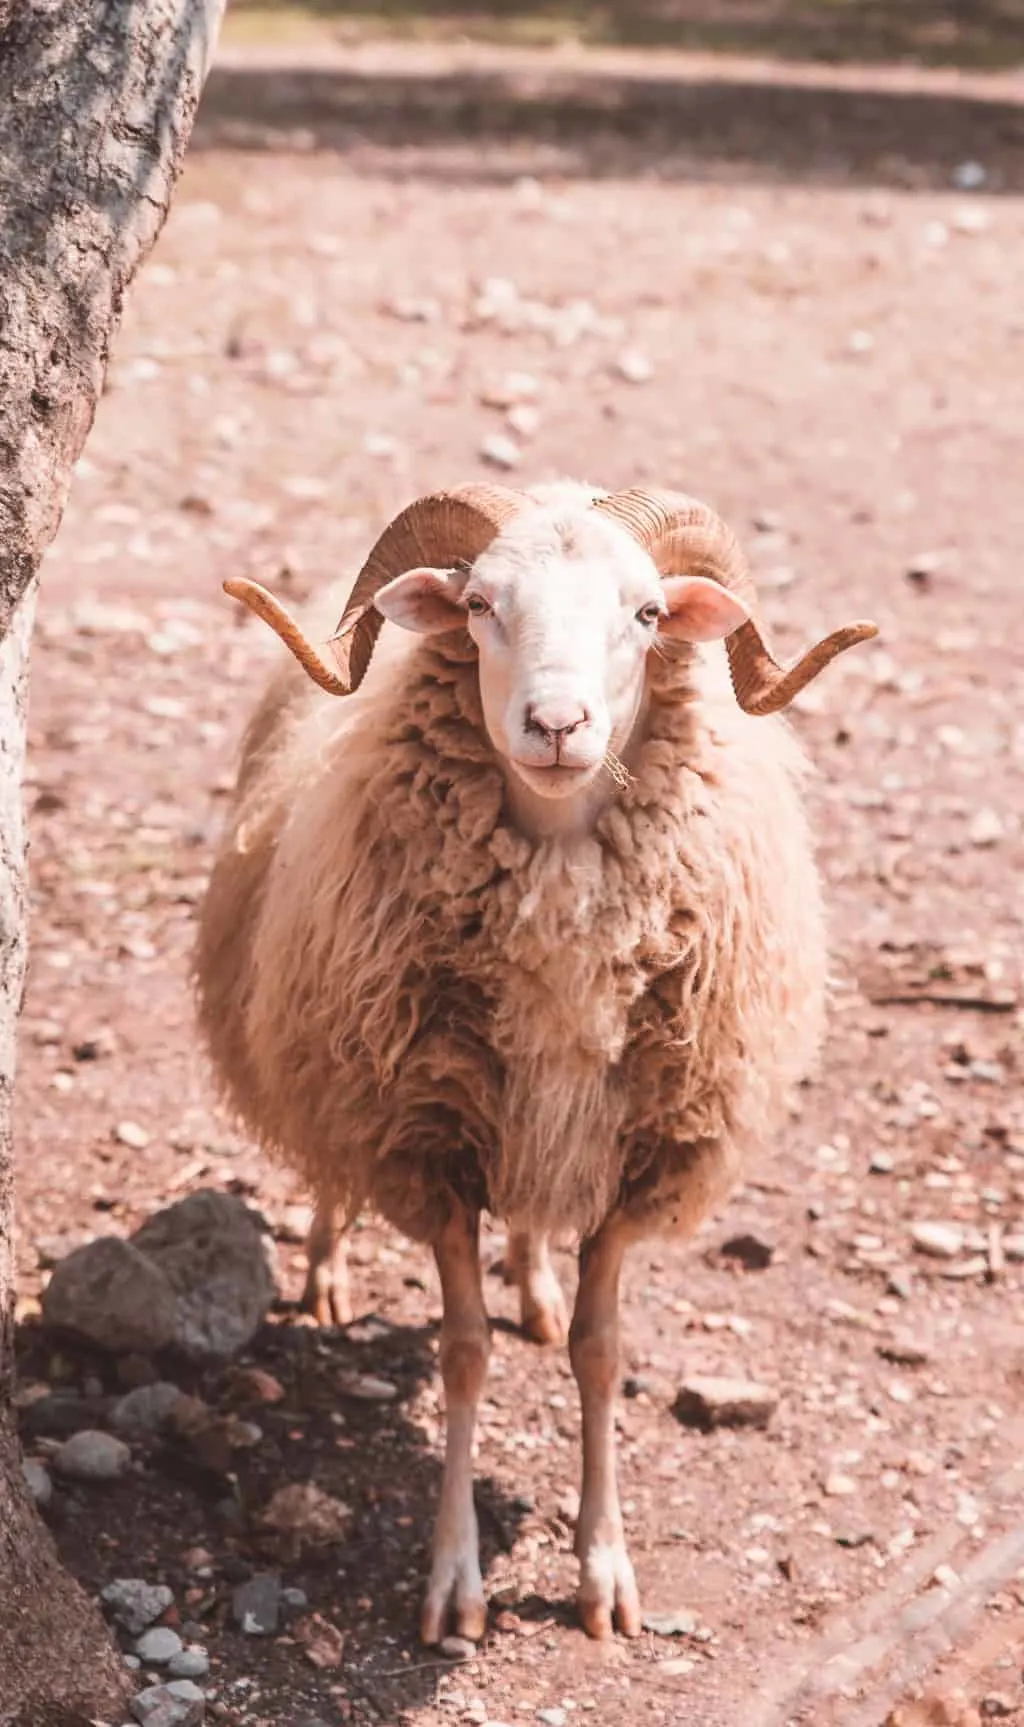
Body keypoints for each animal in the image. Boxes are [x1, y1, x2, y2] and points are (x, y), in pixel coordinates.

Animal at [195, 480, 873, 1637]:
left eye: (647, 613)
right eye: (479, 605)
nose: (557, 726)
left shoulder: (637, 1153)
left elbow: (600, 1352)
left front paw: (604, 1568)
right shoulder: (424, 1141)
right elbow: (461, 1352)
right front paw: (453, 1578)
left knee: (532, 1217)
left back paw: (534, 1277)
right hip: (331, 1043)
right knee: (331, 1166)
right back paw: (328, 1261)